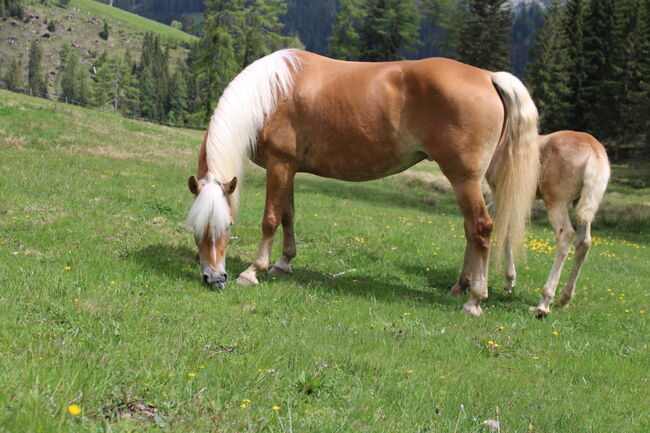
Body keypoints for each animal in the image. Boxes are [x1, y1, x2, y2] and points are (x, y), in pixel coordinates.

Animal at [184, 49, 536, 314]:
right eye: (195, 228)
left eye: (229, 225)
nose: (214, 278)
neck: (270, 94)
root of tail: (488, 76)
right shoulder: (289, 168)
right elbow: (287, 215)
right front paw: (283, 263)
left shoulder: (279, 164)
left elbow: (270, 219)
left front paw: (253, 271)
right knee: (469, 231)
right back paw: (459, 287)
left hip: (464, 178)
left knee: (481, 228)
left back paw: (475, 299)